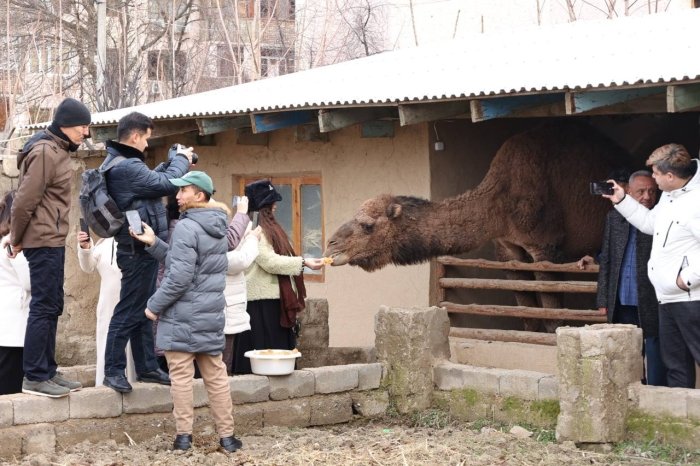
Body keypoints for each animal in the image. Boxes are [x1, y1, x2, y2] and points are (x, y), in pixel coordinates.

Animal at [322, 122, 628, 330]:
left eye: (368, 225)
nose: (331, 245)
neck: (500, 202)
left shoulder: (545, 247)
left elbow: (553, 316)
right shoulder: (508, 250)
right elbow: (527, 316)